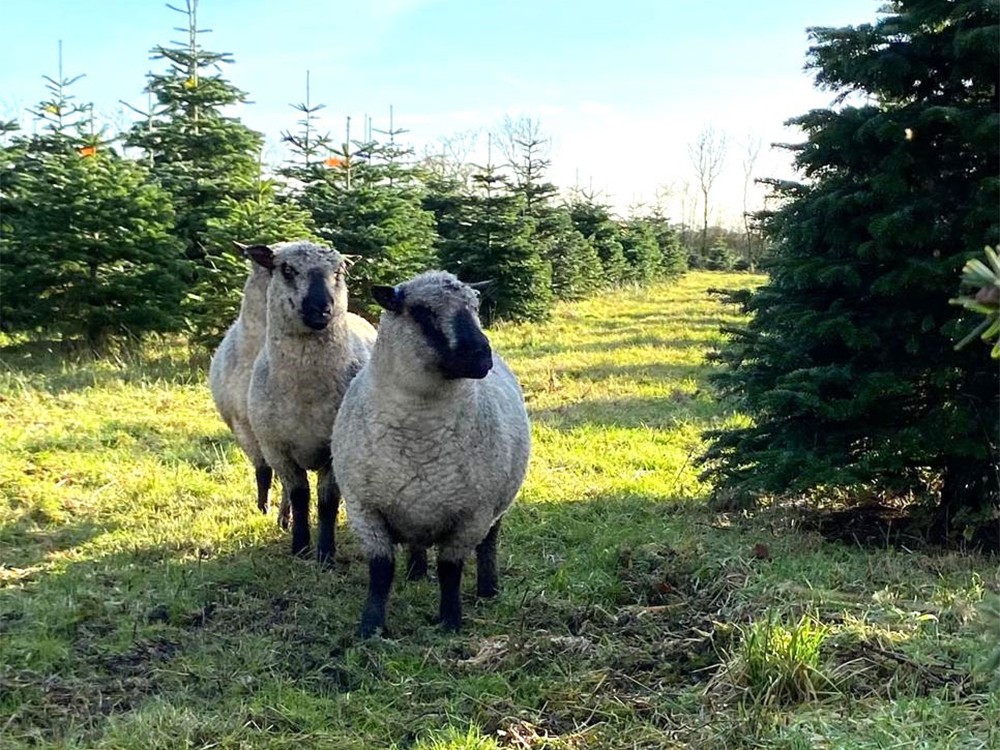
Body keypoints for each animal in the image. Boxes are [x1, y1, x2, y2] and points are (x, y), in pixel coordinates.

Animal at [248, 241, 376, 564]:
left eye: (340, 271)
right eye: (286, 269)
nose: (322, 309)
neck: (305, 395)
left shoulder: (332, 451)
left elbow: (327, 501)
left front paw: (326, 554)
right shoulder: (278, 450)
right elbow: (300, 496)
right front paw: (300, 546)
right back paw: (284, 519)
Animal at [332, 268, 532, 636]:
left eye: (476, 307)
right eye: (422, 312)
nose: (481, 355)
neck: (420, 431)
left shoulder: (472, 515)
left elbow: (450, 570)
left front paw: (450, 620)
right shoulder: (364, 509)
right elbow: (380, 571)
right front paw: (370, 627)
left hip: (496, 502)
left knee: (489, 543)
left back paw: (488, 589)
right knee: (416, 544)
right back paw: (415, 573)